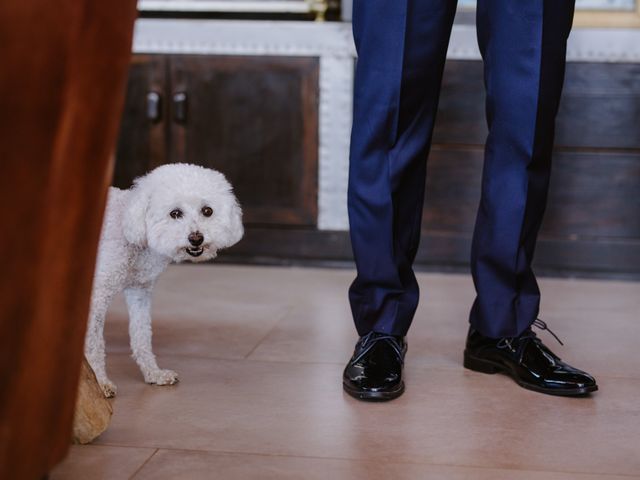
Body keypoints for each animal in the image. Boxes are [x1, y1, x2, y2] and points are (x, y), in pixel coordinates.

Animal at [84, 163, 242, 396]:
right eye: (175, 213)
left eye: (207, 211)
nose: (196, 238)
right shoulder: (98, 295)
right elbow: (94, 344)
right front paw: (99, 382)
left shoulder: (140, 292)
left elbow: (142, 335)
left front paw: (153, 373)